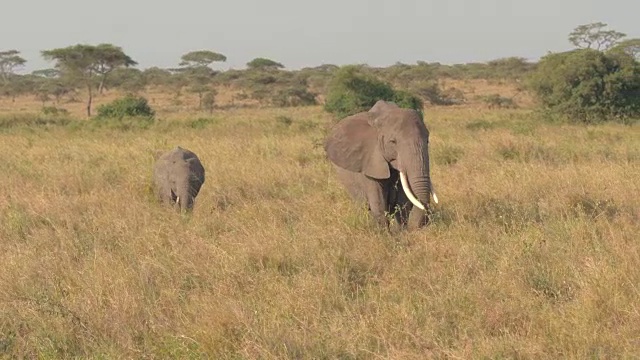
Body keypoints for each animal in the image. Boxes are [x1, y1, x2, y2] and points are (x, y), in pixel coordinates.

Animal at [324, 100, 440, 229]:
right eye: (393, 142)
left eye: (427, 140)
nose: (418, 227)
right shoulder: (370, 160)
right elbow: (377, 198)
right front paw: (384, 233)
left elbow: (402, 199)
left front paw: (399, 231)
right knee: (362, 203)